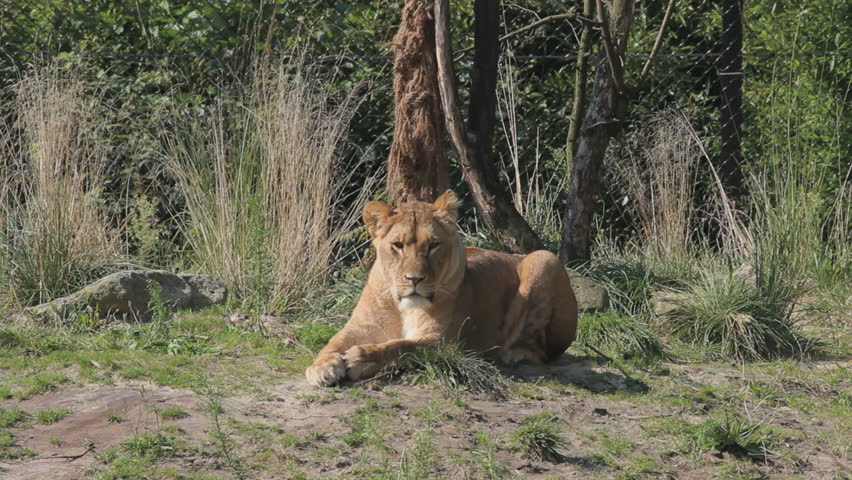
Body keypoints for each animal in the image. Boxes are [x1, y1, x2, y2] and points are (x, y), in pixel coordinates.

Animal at [305, 190, 578, 387]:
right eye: (398, 245)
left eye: (433, 245)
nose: (414, 279)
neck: (401, 307)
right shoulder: (358, 327)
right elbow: (332, 341)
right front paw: (321, 367)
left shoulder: (444, 342)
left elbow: (401, 347)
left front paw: (361, 358)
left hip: (544, 259)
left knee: (544, 350)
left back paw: (514, 353)